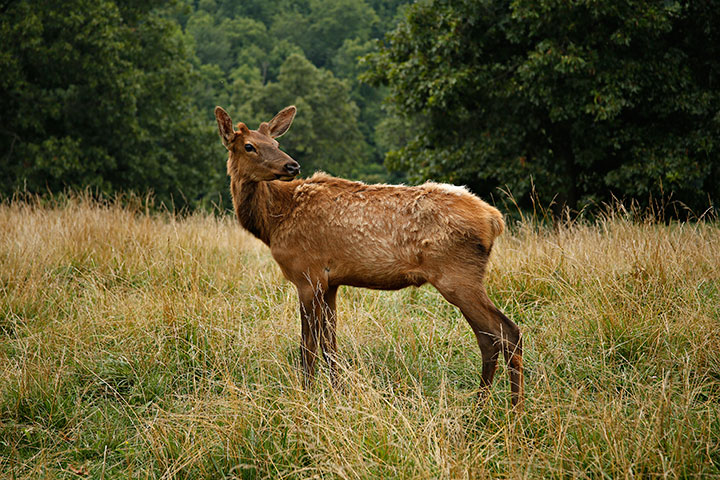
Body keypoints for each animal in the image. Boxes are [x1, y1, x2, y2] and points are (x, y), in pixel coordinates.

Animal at [214, 105, 524, 408]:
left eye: (276, 143)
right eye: (250, 146)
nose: (292, 165)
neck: (273, 222)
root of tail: (494, 220)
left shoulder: (306, 274)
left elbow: (307, 346)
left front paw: (307, 395)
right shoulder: (330, 282)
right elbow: (329, 344)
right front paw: (338, 392)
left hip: (457, 275)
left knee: (506, 332)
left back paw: (512, 410)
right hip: (462, 277)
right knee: (489, 338)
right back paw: (483, 405)